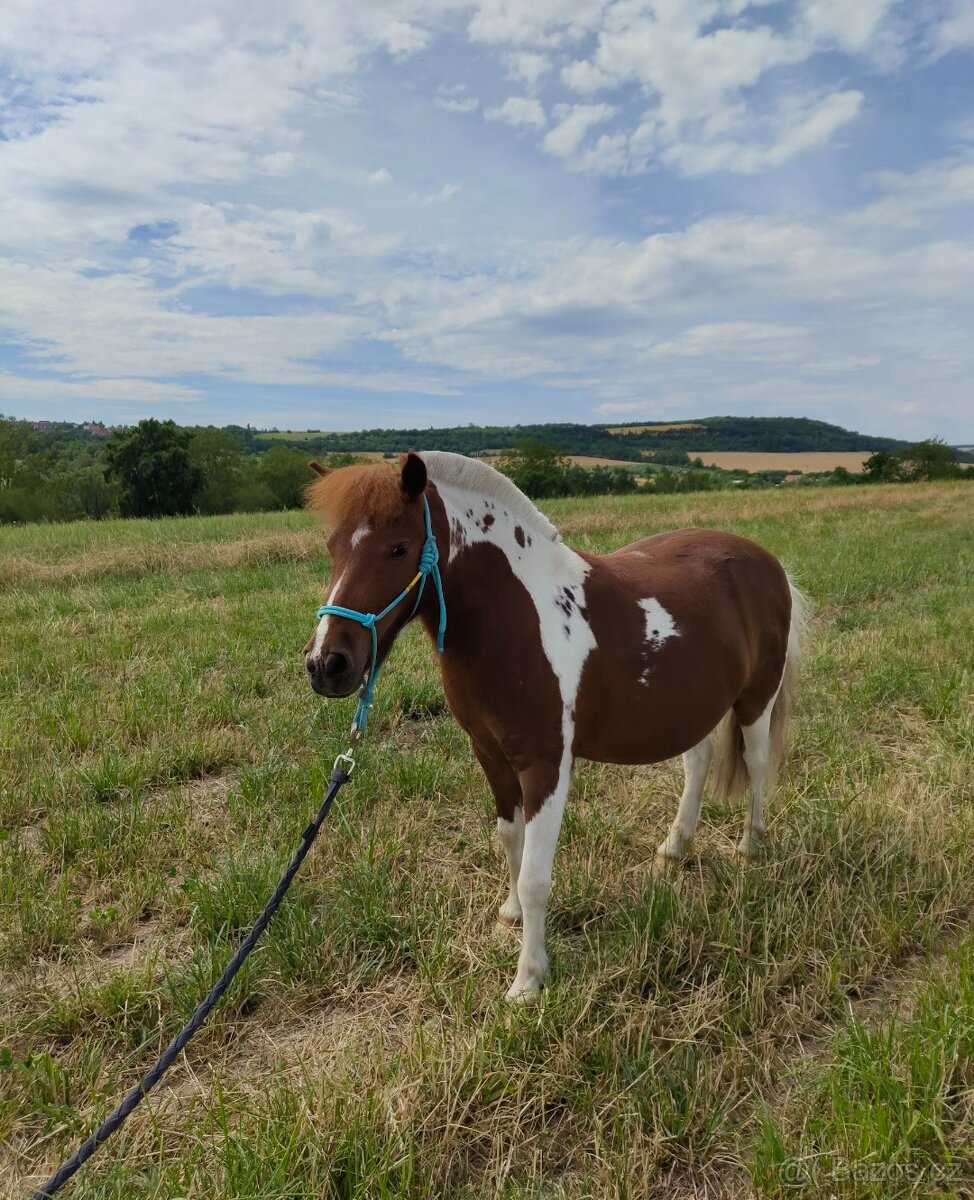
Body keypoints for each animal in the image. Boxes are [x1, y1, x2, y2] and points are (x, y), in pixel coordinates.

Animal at [303, 451, 807, 1002]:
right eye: (331, 547)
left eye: (398, 548)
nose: (326, 664)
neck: (518, 619)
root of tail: (770, 563)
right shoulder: (491, 754)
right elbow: (511, 842)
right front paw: (510, 916)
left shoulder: (545, 765)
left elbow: (535, 877)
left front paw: (528, 981)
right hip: (689, 708)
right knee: (698, 763)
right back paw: (674, 849)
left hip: (757, 699)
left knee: (757, 765)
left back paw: (750, 849)